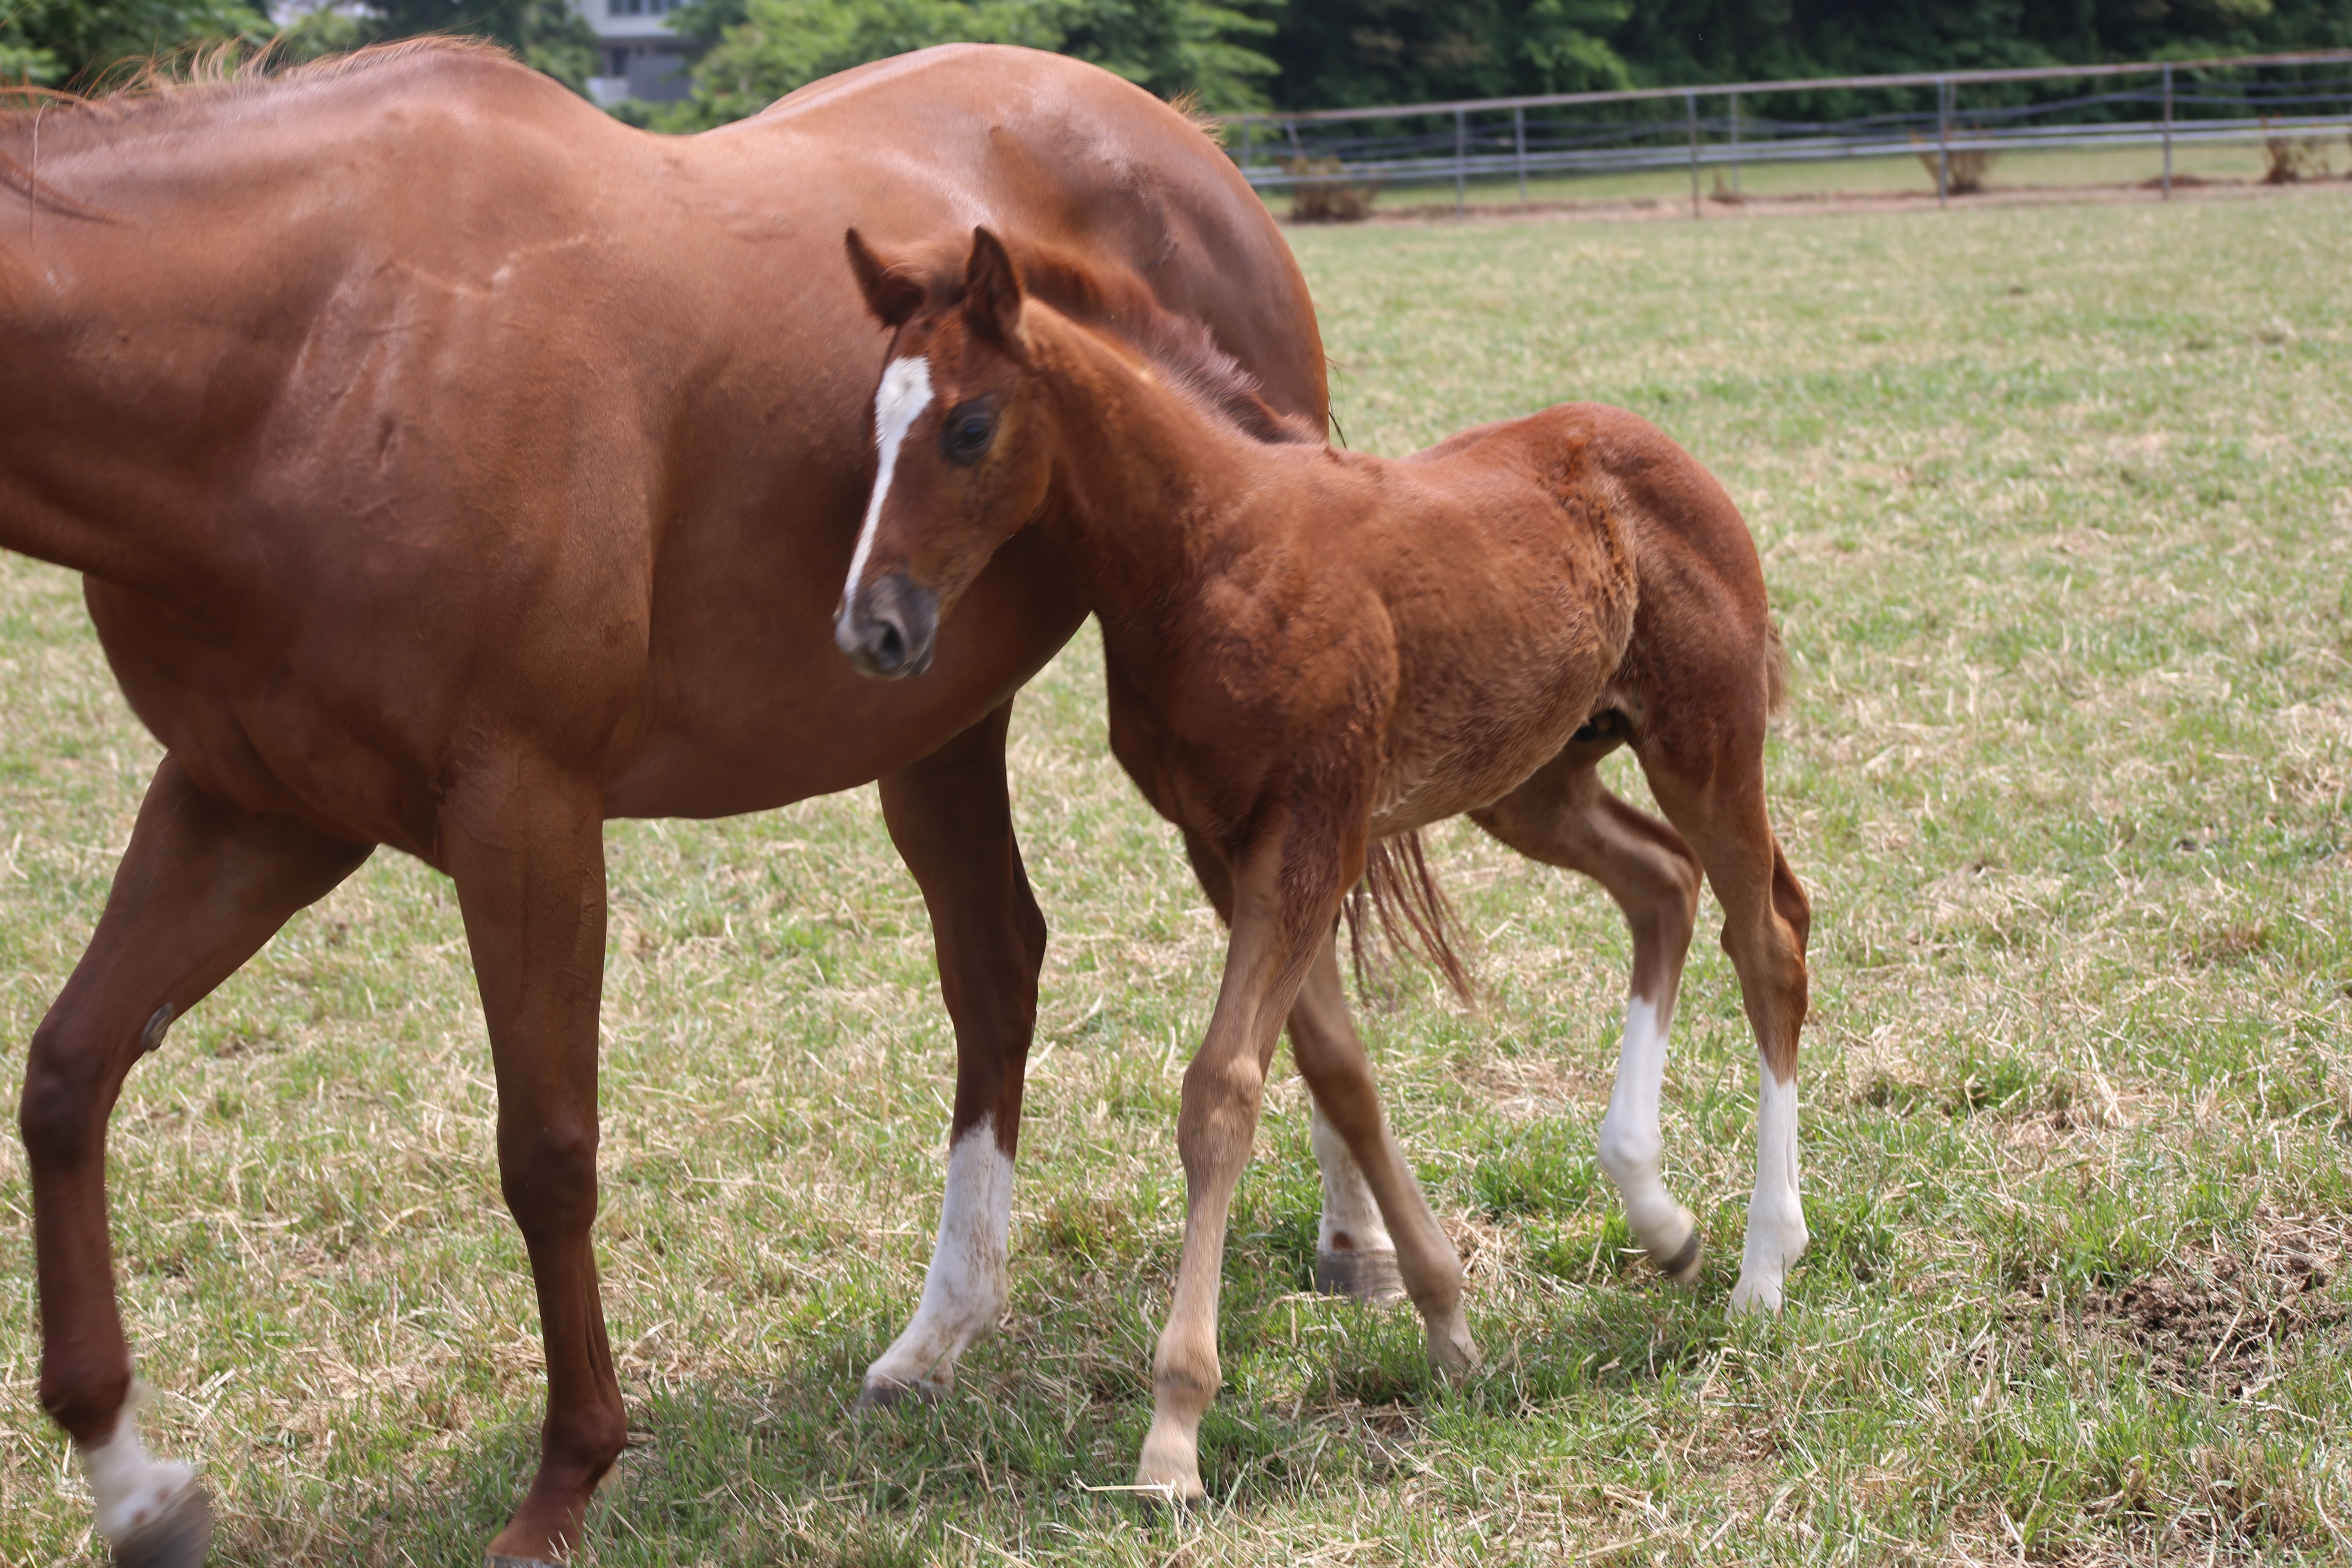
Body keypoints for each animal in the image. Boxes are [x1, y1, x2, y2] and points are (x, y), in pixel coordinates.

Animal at [837, 227, 1806, 1504]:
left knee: (1768, 937)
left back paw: (1762, 1267)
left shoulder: (1311, 828)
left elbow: (1221, 1091)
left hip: (1704, 737)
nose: (871, 627)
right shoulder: (1222, 842)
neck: (1215, 550)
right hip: (1531, 778)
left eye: (967, 425)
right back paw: (1658, 1214)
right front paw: (1445, 1320)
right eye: (873, 424)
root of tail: (1658, 447)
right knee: (1660, 884)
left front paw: (1173, 1432)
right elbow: (1337, 1070)